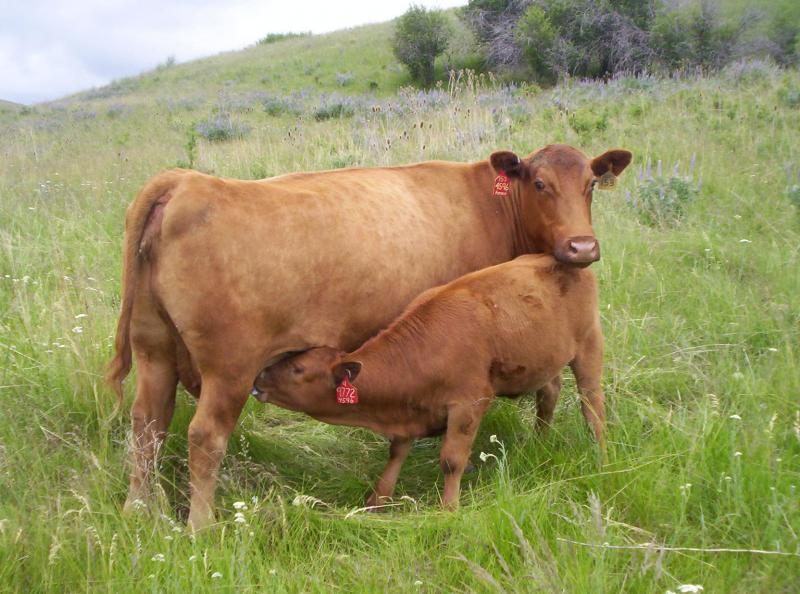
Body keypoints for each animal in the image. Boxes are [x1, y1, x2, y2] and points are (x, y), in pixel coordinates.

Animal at [253, 252, 604, 506]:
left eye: (298, 370)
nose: (258, 379)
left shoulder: (468, 403)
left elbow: (451, 460)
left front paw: (448, 508)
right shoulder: (411, 409)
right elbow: (397, 451)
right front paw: (378, 499)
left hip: (589, 346)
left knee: (592, 406)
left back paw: (601, 453)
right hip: (543, 360)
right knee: (549, 394)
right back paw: (540, 442)